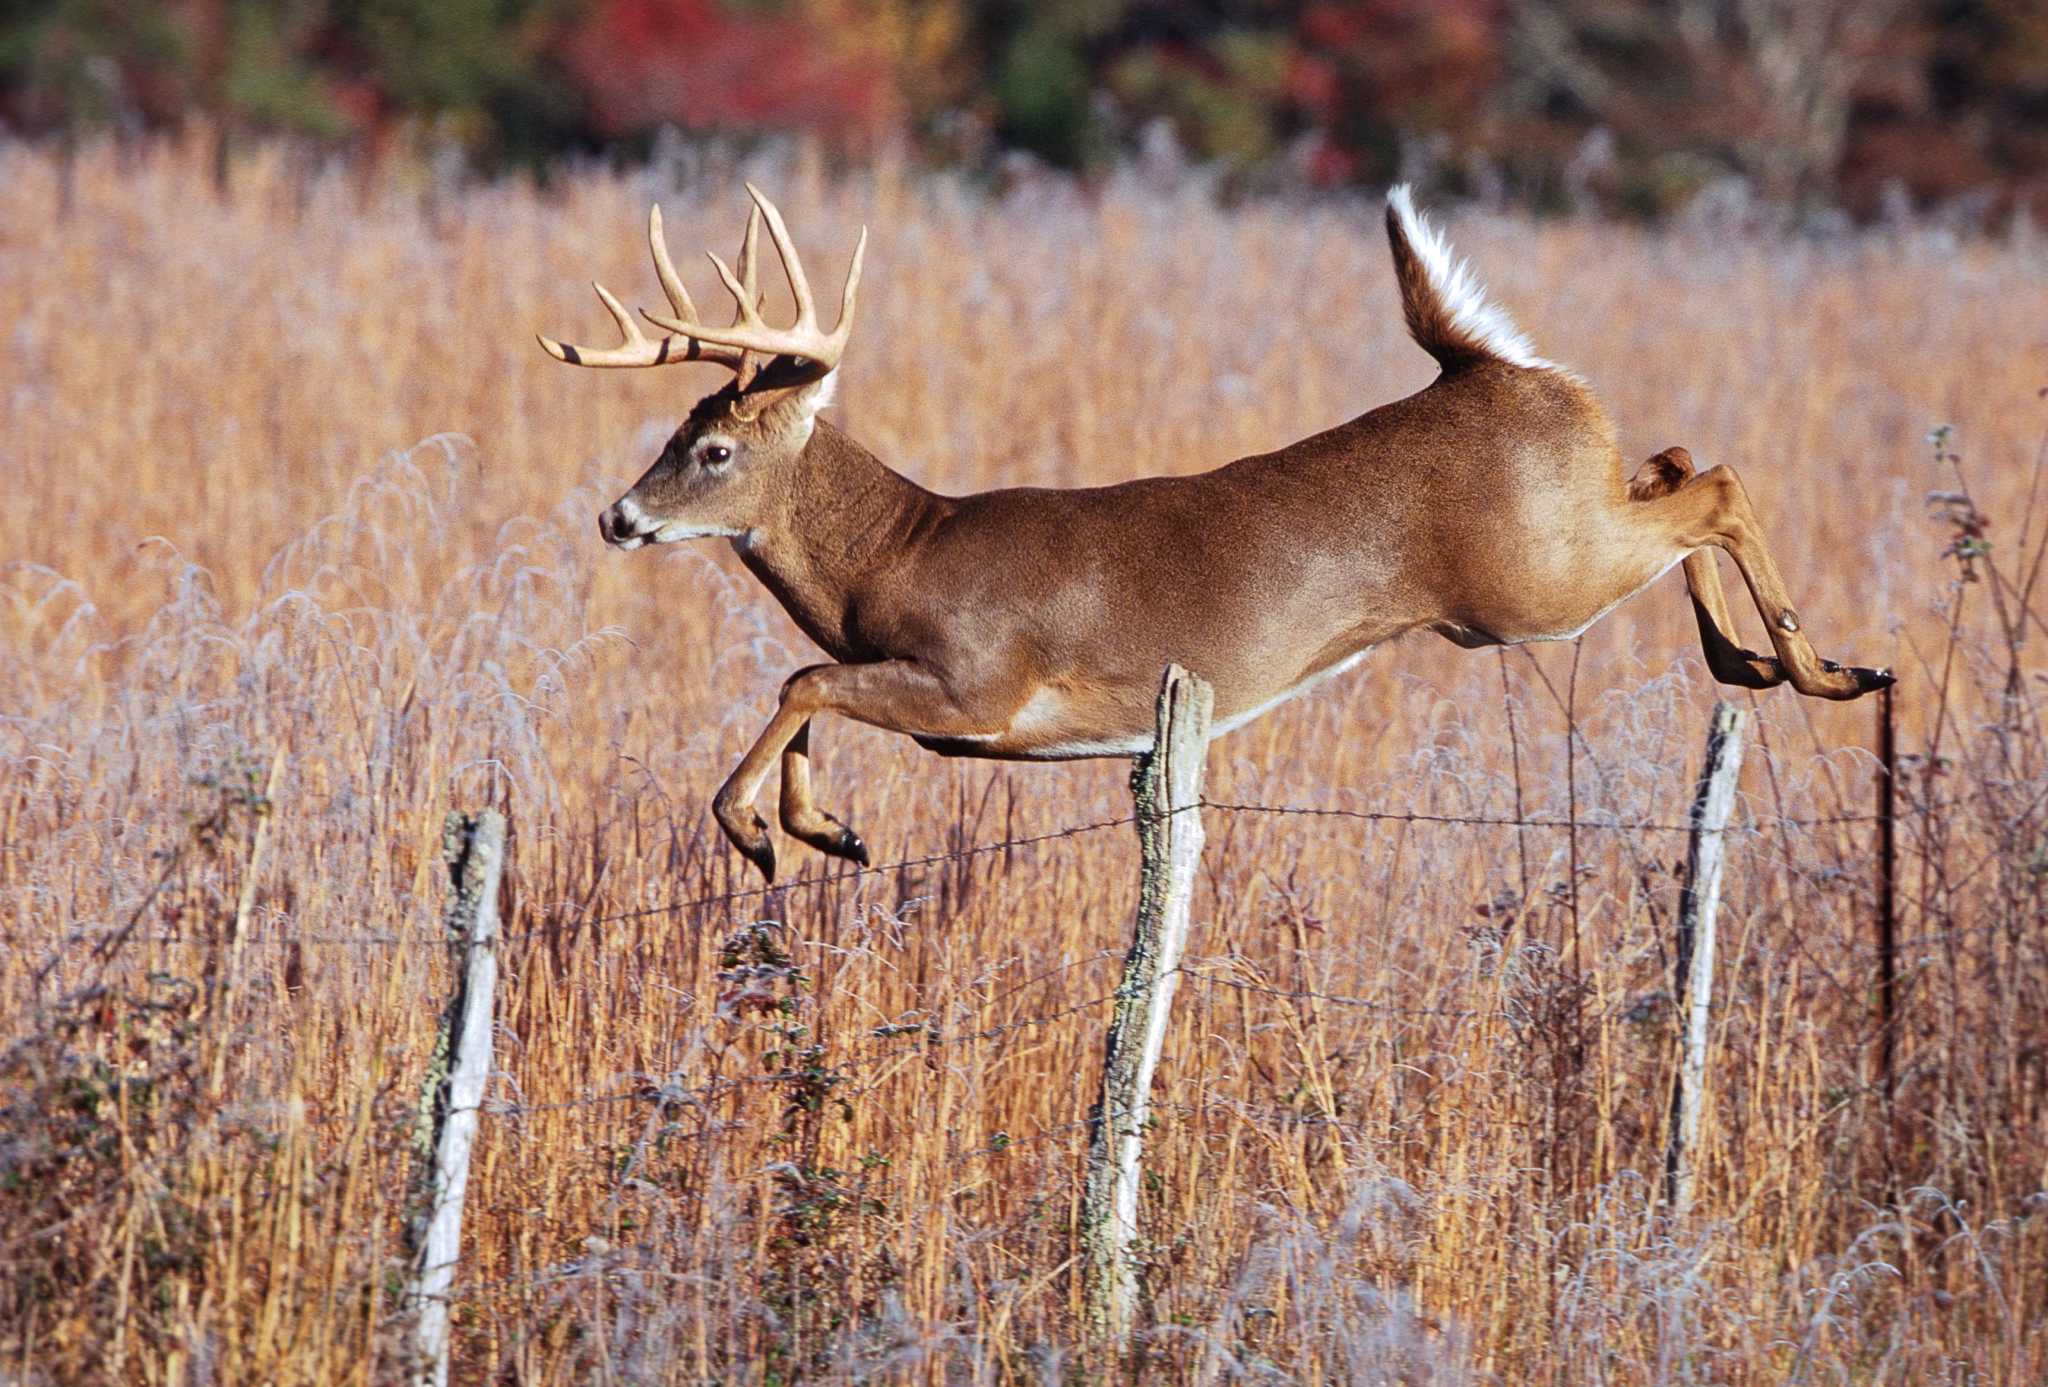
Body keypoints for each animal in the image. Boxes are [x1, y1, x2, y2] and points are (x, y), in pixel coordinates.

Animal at [540, 184, 1884, 876]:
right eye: (673, 427)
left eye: (713, 449)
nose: (617, 514)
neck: (892, 554)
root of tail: (1485, 366)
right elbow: (809, 682)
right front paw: (825, 828)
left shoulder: (979, 687)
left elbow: (803, 675)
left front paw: (760, 831)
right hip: (1562, 533)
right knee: (1674, 464)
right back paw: (1752, 660)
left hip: (1528, 584)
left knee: (1715, 484)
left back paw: (1825, 666)